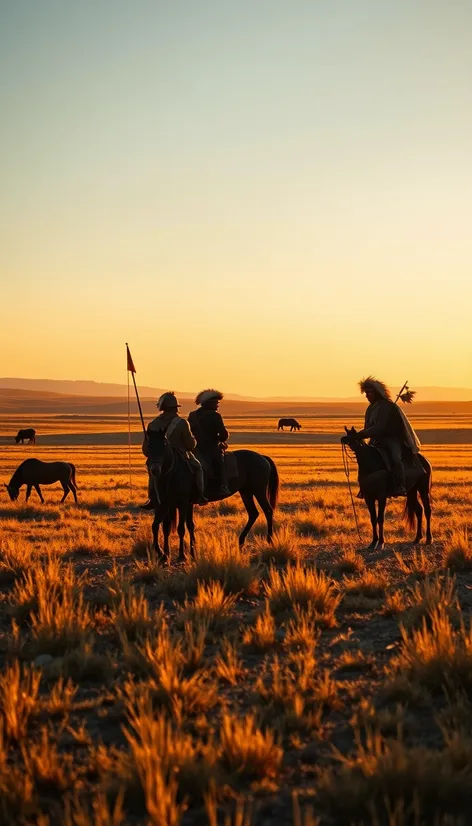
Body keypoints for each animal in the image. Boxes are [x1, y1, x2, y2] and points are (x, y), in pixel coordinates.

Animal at [148, 428, 278, 564]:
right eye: (149, 445)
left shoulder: (183, 503)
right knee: (253, 513)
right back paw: (241, 541)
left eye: (164, 444)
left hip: (259, 491)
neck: (174, 471)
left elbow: (181, 528)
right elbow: (161, 526)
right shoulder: (167, 504)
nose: (154, 469)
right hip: (246, 492)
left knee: (268, 510)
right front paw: (165, 554)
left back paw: (269, 540)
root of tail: (262, 458)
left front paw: (181, 555)